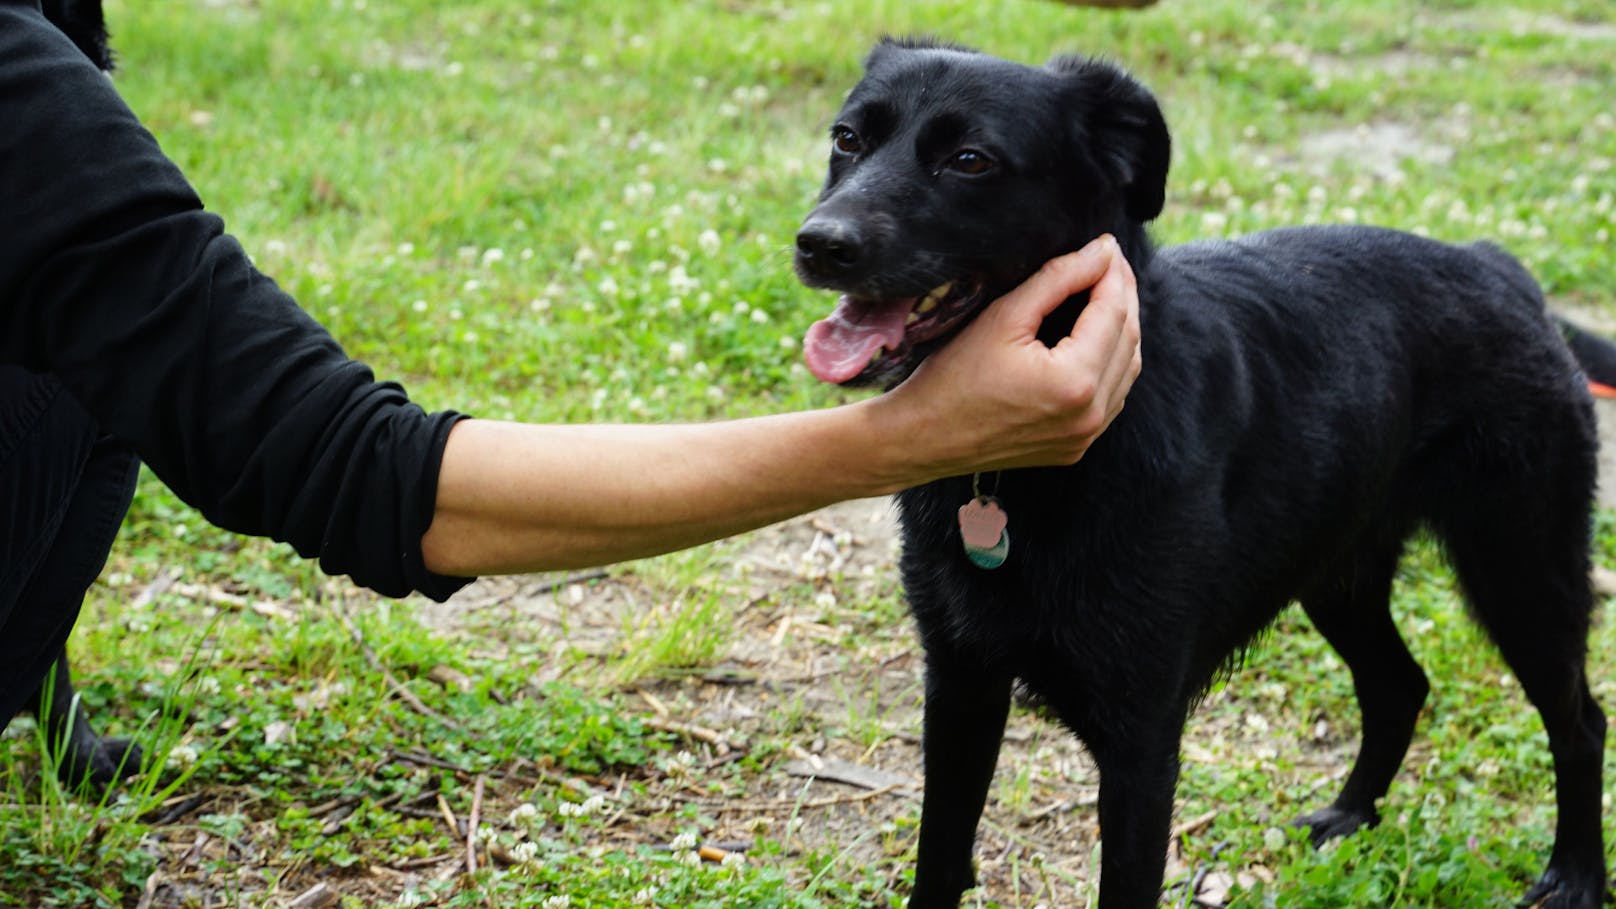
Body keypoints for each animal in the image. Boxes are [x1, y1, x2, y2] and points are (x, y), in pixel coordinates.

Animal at [801, 38, 1609, 905]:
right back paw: (1351, 816)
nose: (819, 243)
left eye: (970, 160)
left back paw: (1576, 873)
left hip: (1522, 571)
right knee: (1399, 685)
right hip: (1341, 572)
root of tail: (1500, 269)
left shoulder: (1140, 740)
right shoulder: (959, 690)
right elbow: (940, 859)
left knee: (1580, 720)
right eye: (847, 139)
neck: (1029, 475)